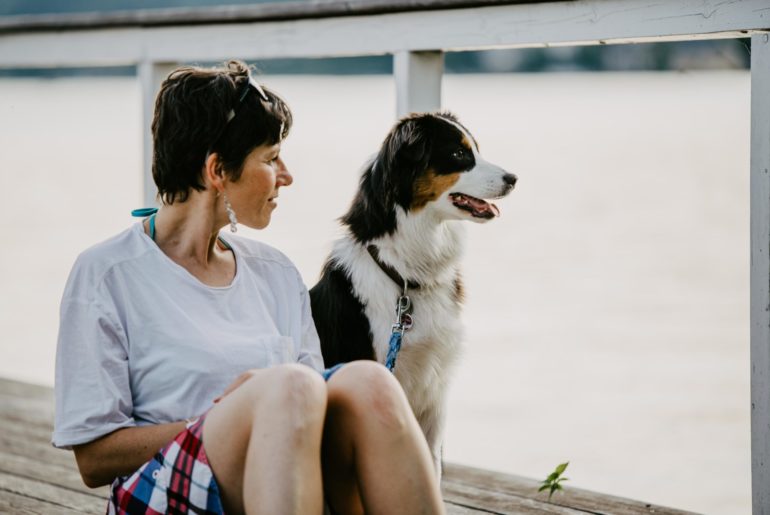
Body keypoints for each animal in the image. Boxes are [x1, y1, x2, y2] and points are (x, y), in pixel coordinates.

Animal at [308, 112, 516, 476]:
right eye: (459, 155)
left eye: (476, 149)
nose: (514, 179)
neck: (406, 279)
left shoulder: (435, 389)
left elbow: (432, 467)